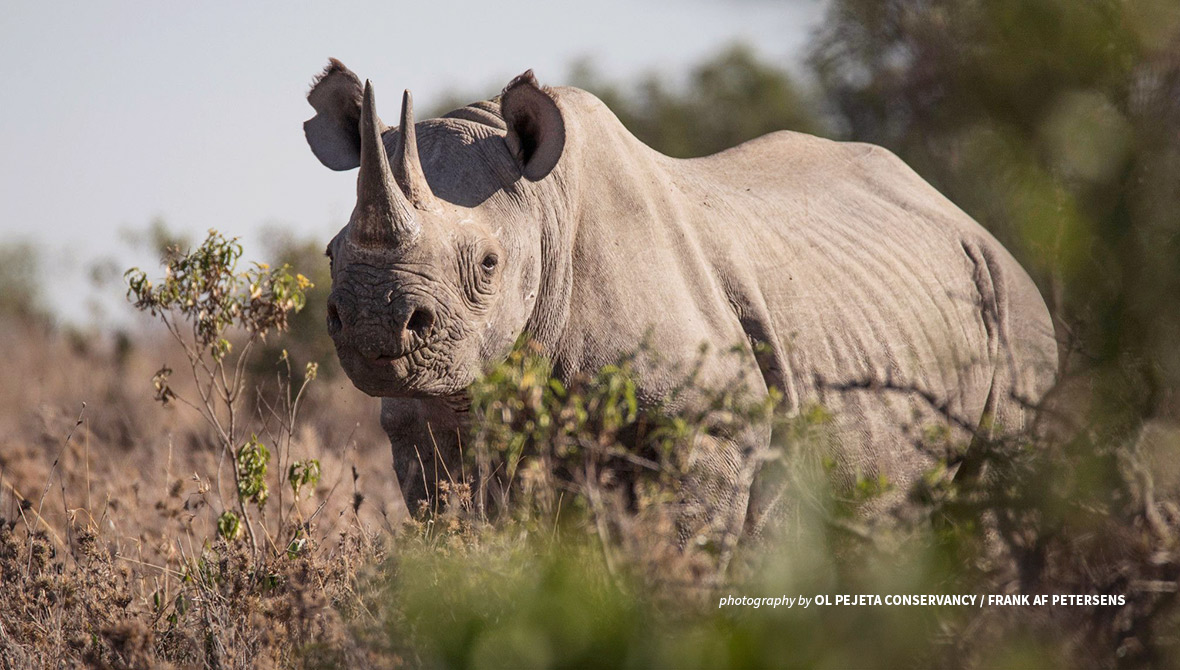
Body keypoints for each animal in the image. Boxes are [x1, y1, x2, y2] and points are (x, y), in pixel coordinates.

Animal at [303, 59, 1057, 547]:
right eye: (333, 255)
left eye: (487, 266)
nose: (374, 323)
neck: (545, 212)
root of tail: (971, 223)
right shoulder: (426, 422)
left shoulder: (710, 424)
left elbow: (681, 560)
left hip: (1017, 308)